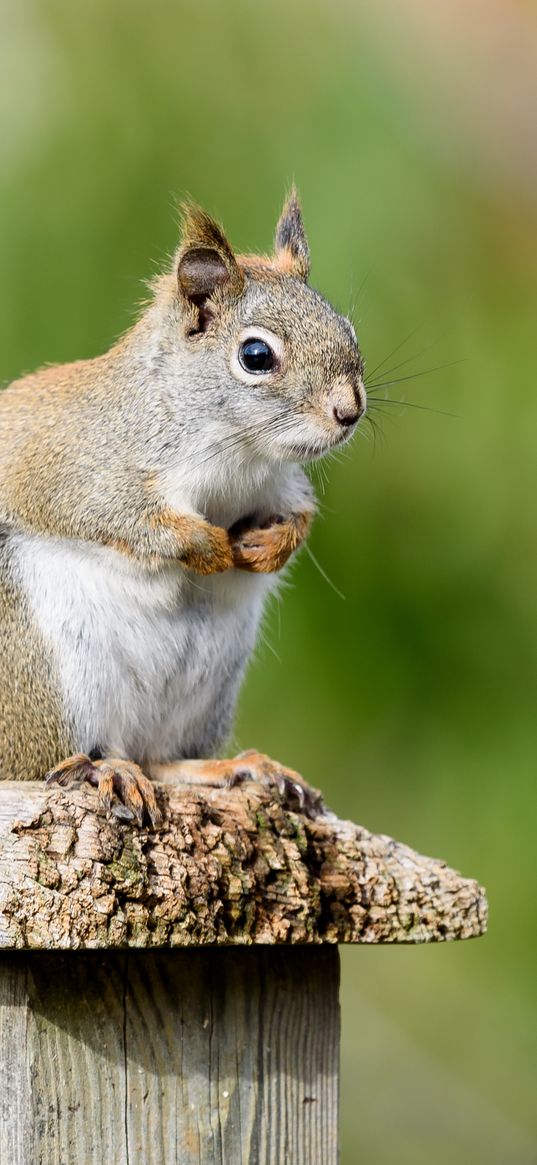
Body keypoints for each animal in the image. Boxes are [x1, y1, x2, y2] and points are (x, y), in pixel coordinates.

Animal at [0, 191, 363, 824]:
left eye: (349, 330)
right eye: (256, 355)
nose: (350, 412)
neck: (238, 453)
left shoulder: (280, 483)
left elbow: (301, 515)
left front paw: (267, 547)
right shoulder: (78, 463)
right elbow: (110, 513)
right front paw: (208, 546)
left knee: (158, 756)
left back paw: (234, 767)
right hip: (45, 672)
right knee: (59, 759)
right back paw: (100, 768)